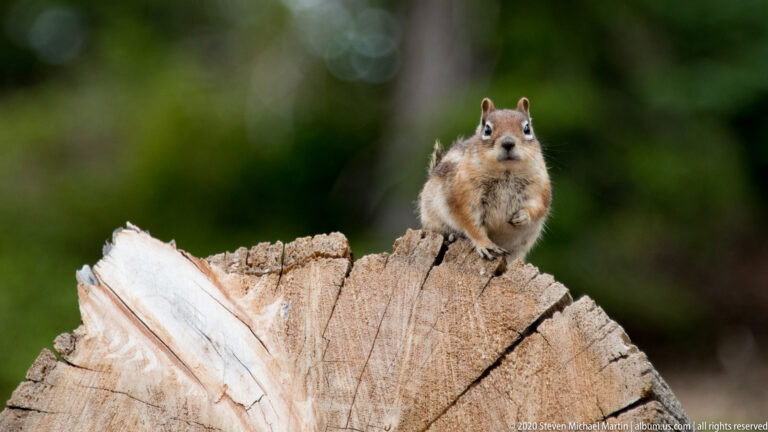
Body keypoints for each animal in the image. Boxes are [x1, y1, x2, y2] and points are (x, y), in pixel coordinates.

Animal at [418, 97, 551, 261]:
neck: (506, 172)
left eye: (527, 129)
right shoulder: (464, 197)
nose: (508, 143)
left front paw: (523, 216)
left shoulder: (540, 188)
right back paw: (451, 236)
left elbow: (539, 207)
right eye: (487, 130)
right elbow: (471, 224)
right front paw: (485, 245)